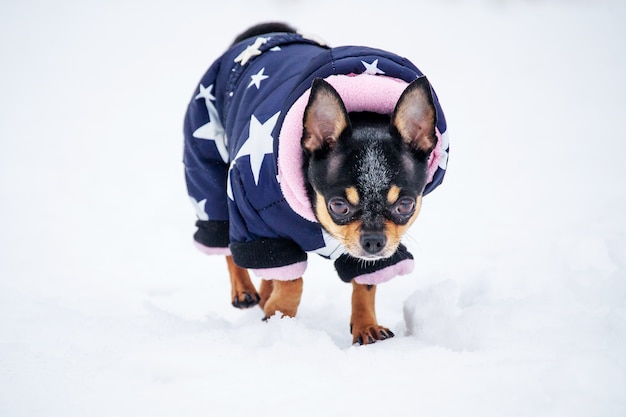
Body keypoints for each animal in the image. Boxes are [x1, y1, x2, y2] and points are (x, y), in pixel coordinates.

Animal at [183, 22, 446, 342]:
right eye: (339, 206)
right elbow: (291, 279)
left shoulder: (370, 253)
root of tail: (262, 35)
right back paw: (244, 290)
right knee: (226, 241)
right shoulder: (258, 223)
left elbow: (366, 283)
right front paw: (280, 316)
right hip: (210, 176)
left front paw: (366, 325)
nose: (374, 240)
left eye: (405, 205)